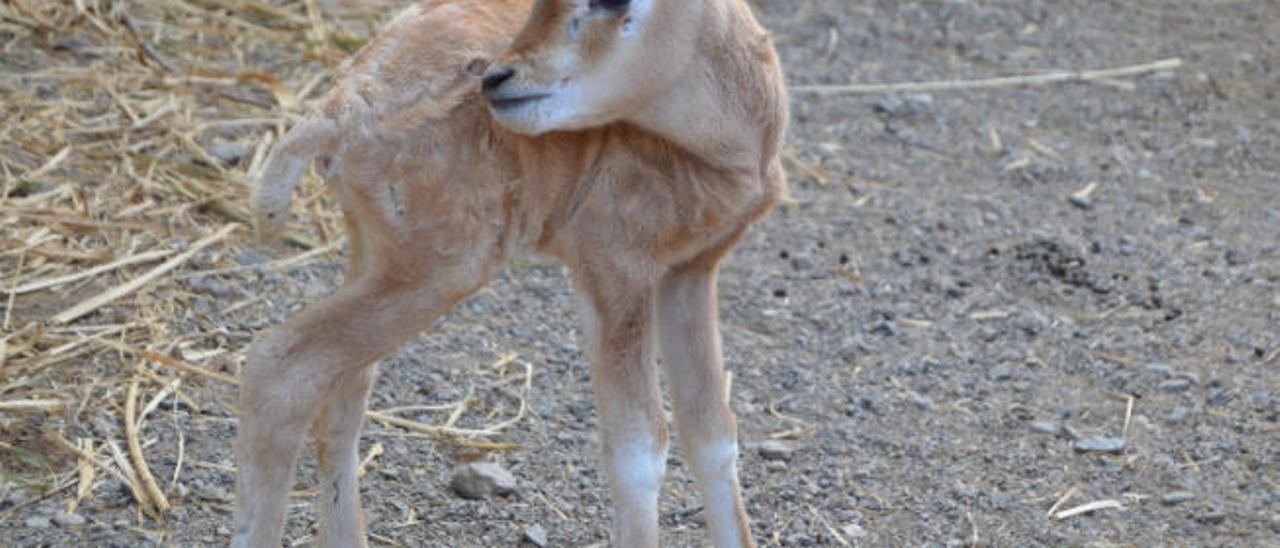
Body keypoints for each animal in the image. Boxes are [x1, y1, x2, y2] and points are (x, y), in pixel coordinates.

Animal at [234, 1, 783, 548]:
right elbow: (639, 451)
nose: (497, 79)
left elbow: (712, 434)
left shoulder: (692, 270)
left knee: (343, 389)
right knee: (281, 367)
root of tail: (343, 106)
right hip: (440, 269)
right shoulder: (613, 268)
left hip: (377, 252)